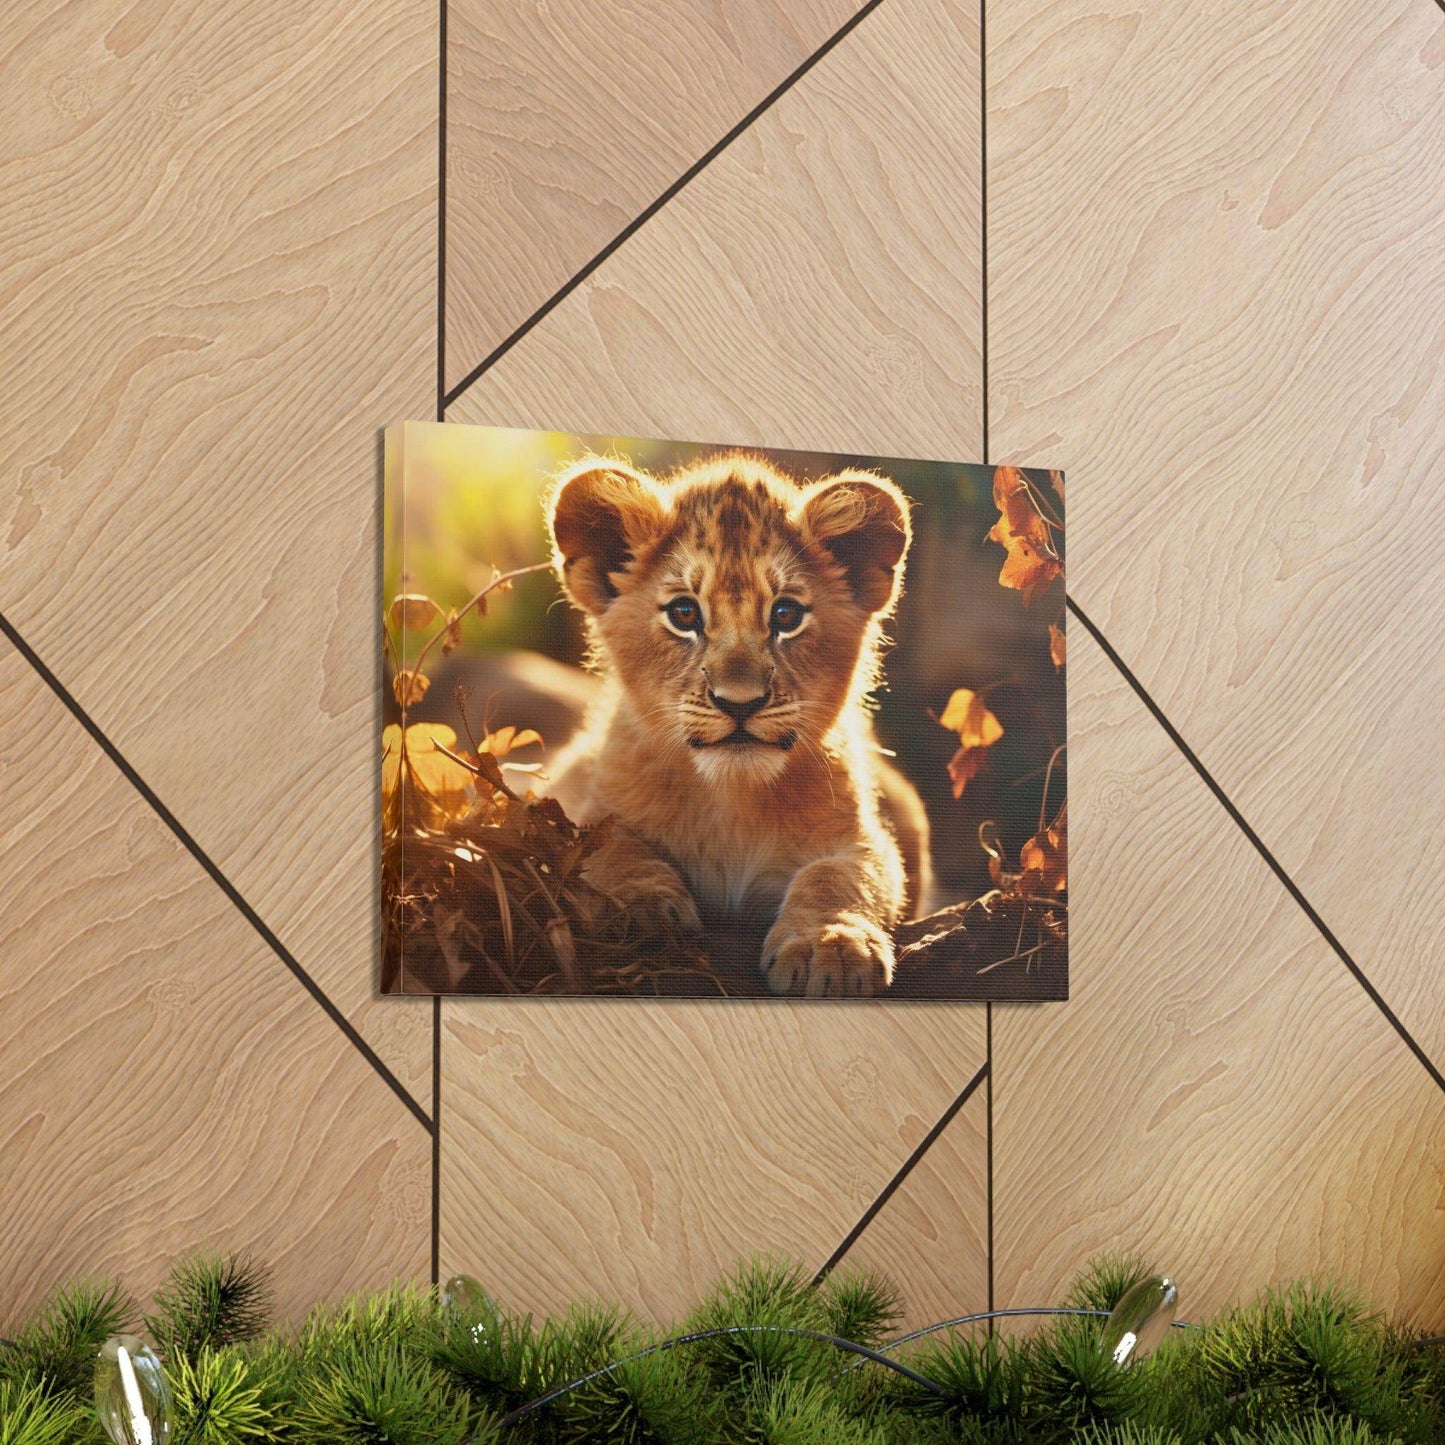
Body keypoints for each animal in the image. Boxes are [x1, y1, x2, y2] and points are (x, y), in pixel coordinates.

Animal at [544, 452, 932, 997]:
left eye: (786, 615)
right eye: (684, 612)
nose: (740, 703)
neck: (730, 800)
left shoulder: (861, 836)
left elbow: (842, 876)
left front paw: (830, 944)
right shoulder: (580, 802)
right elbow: (609, 849)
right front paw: (640, 910)